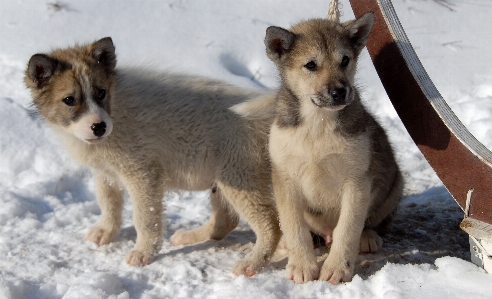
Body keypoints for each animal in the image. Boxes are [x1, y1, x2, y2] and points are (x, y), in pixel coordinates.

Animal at [24, 37, 280, 276]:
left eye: (101, 93)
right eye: (69, 100)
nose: (99, 127)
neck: (116, 110)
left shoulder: (142, 174)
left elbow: (144, 218)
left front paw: (143, 253)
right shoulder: (106, 173)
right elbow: (108, 203)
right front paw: (106, 231)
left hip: (239, 178)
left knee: (271, 226)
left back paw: (252, 264)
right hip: (225, 179)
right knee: (226, 221)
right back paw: (190, 237)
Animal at [266, 12, 404, 284]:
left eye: (345, 60)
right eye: (311, 65)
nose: (340, 92)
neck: (317, 124)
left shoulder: (357, 181)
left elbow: (348, 229)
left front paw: (338, 269)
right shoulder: (285, 180)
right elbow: (295, 227)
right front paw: (302, 265)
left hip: (394, 184)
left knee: (371, 223)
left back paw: (368, 237)